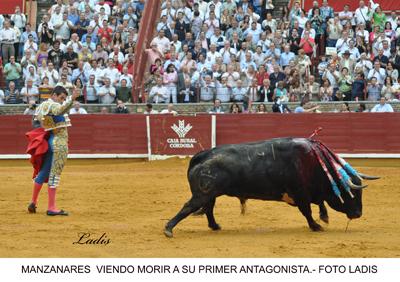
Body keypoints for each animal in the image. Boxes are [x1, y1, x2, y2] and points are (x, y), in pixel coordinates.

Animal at [163, 138, 378, 237]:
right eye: (351, 192)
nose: (358, 214)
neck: (316, 165)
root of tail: (203, 155)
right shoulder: (300, 194)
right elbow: (307, 211)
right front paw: (316, 226)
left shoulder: (310, 193)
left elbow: (319, 204)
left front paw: (323, 217)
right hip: (203, 193)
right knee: (189, 207)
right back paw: (168, 229)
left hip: (210, 193)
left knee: (208, 208)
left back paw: (215, 226)